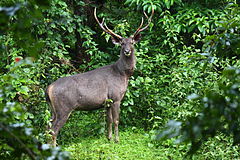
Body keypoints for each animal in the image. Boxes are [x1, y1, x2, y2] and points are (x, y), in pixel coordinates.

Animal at [46, 8, 153, 147]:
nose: (127, 51)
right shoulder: (116, 97)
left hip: (53, 109)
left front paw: (109, 138)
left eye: (132, 42)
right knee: (53, 130)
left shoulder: (106, 102)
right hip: (63, 108)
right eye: (122, 43)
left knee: (48, 127)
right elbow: (116, 120)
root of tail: (49, 88)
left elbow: (109, 120)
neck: (122, 74)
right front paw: (117, 140)